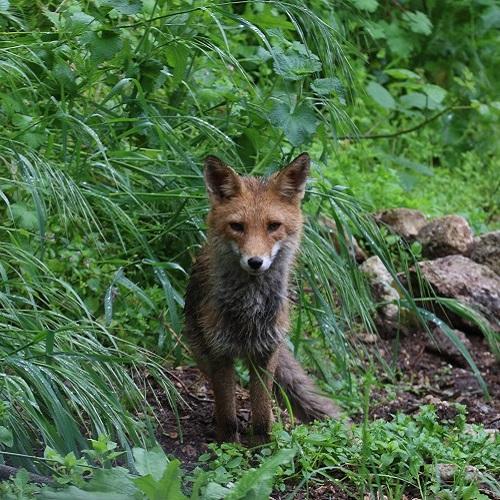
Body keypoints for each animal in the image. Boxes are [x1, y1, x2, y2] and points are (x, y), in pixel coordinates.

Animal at [184, 152, 340, 442]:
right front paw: (228, 444)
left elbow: (261, 412)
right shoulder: (219, 352)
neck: (249, 310)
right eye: (237, 226)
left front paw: (262, 446)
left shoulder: (266, 351)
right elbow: (227, 410)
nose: (255, 262)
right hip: (200, 350)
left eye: (273, 226)